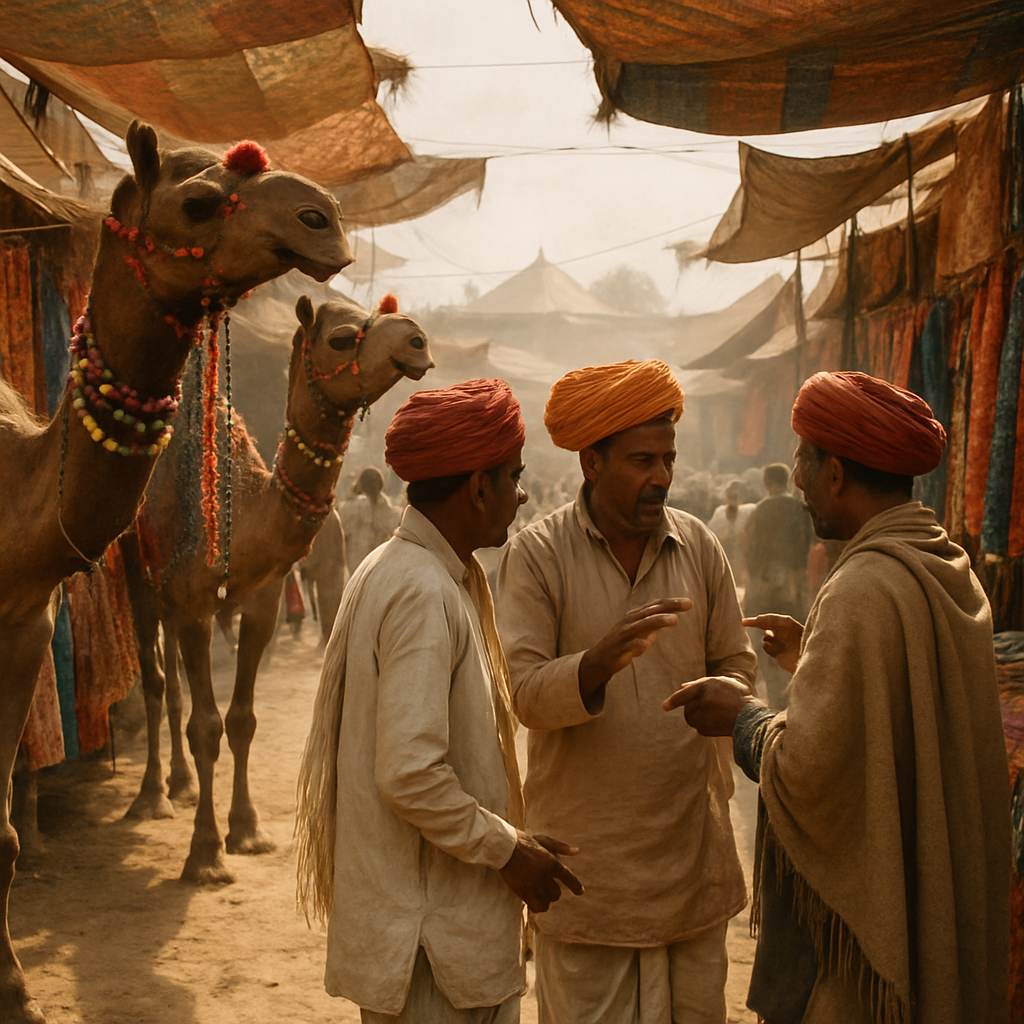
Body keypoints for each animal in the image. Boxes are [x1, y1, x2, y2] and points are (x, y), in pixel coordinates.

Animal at [123, 293, 432, 884]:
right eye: (340, 337)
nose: (416, 339)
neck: (240, 517)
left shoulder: (262, 604)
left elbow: (243, 720)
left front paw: (247, 831)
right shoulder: (196, 607)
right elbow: (207, 726)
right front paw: (205, 855)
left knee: (170, 684)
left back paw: (180, 783)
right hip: (135, 575)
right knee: (153, 680)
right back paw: (152, 797)